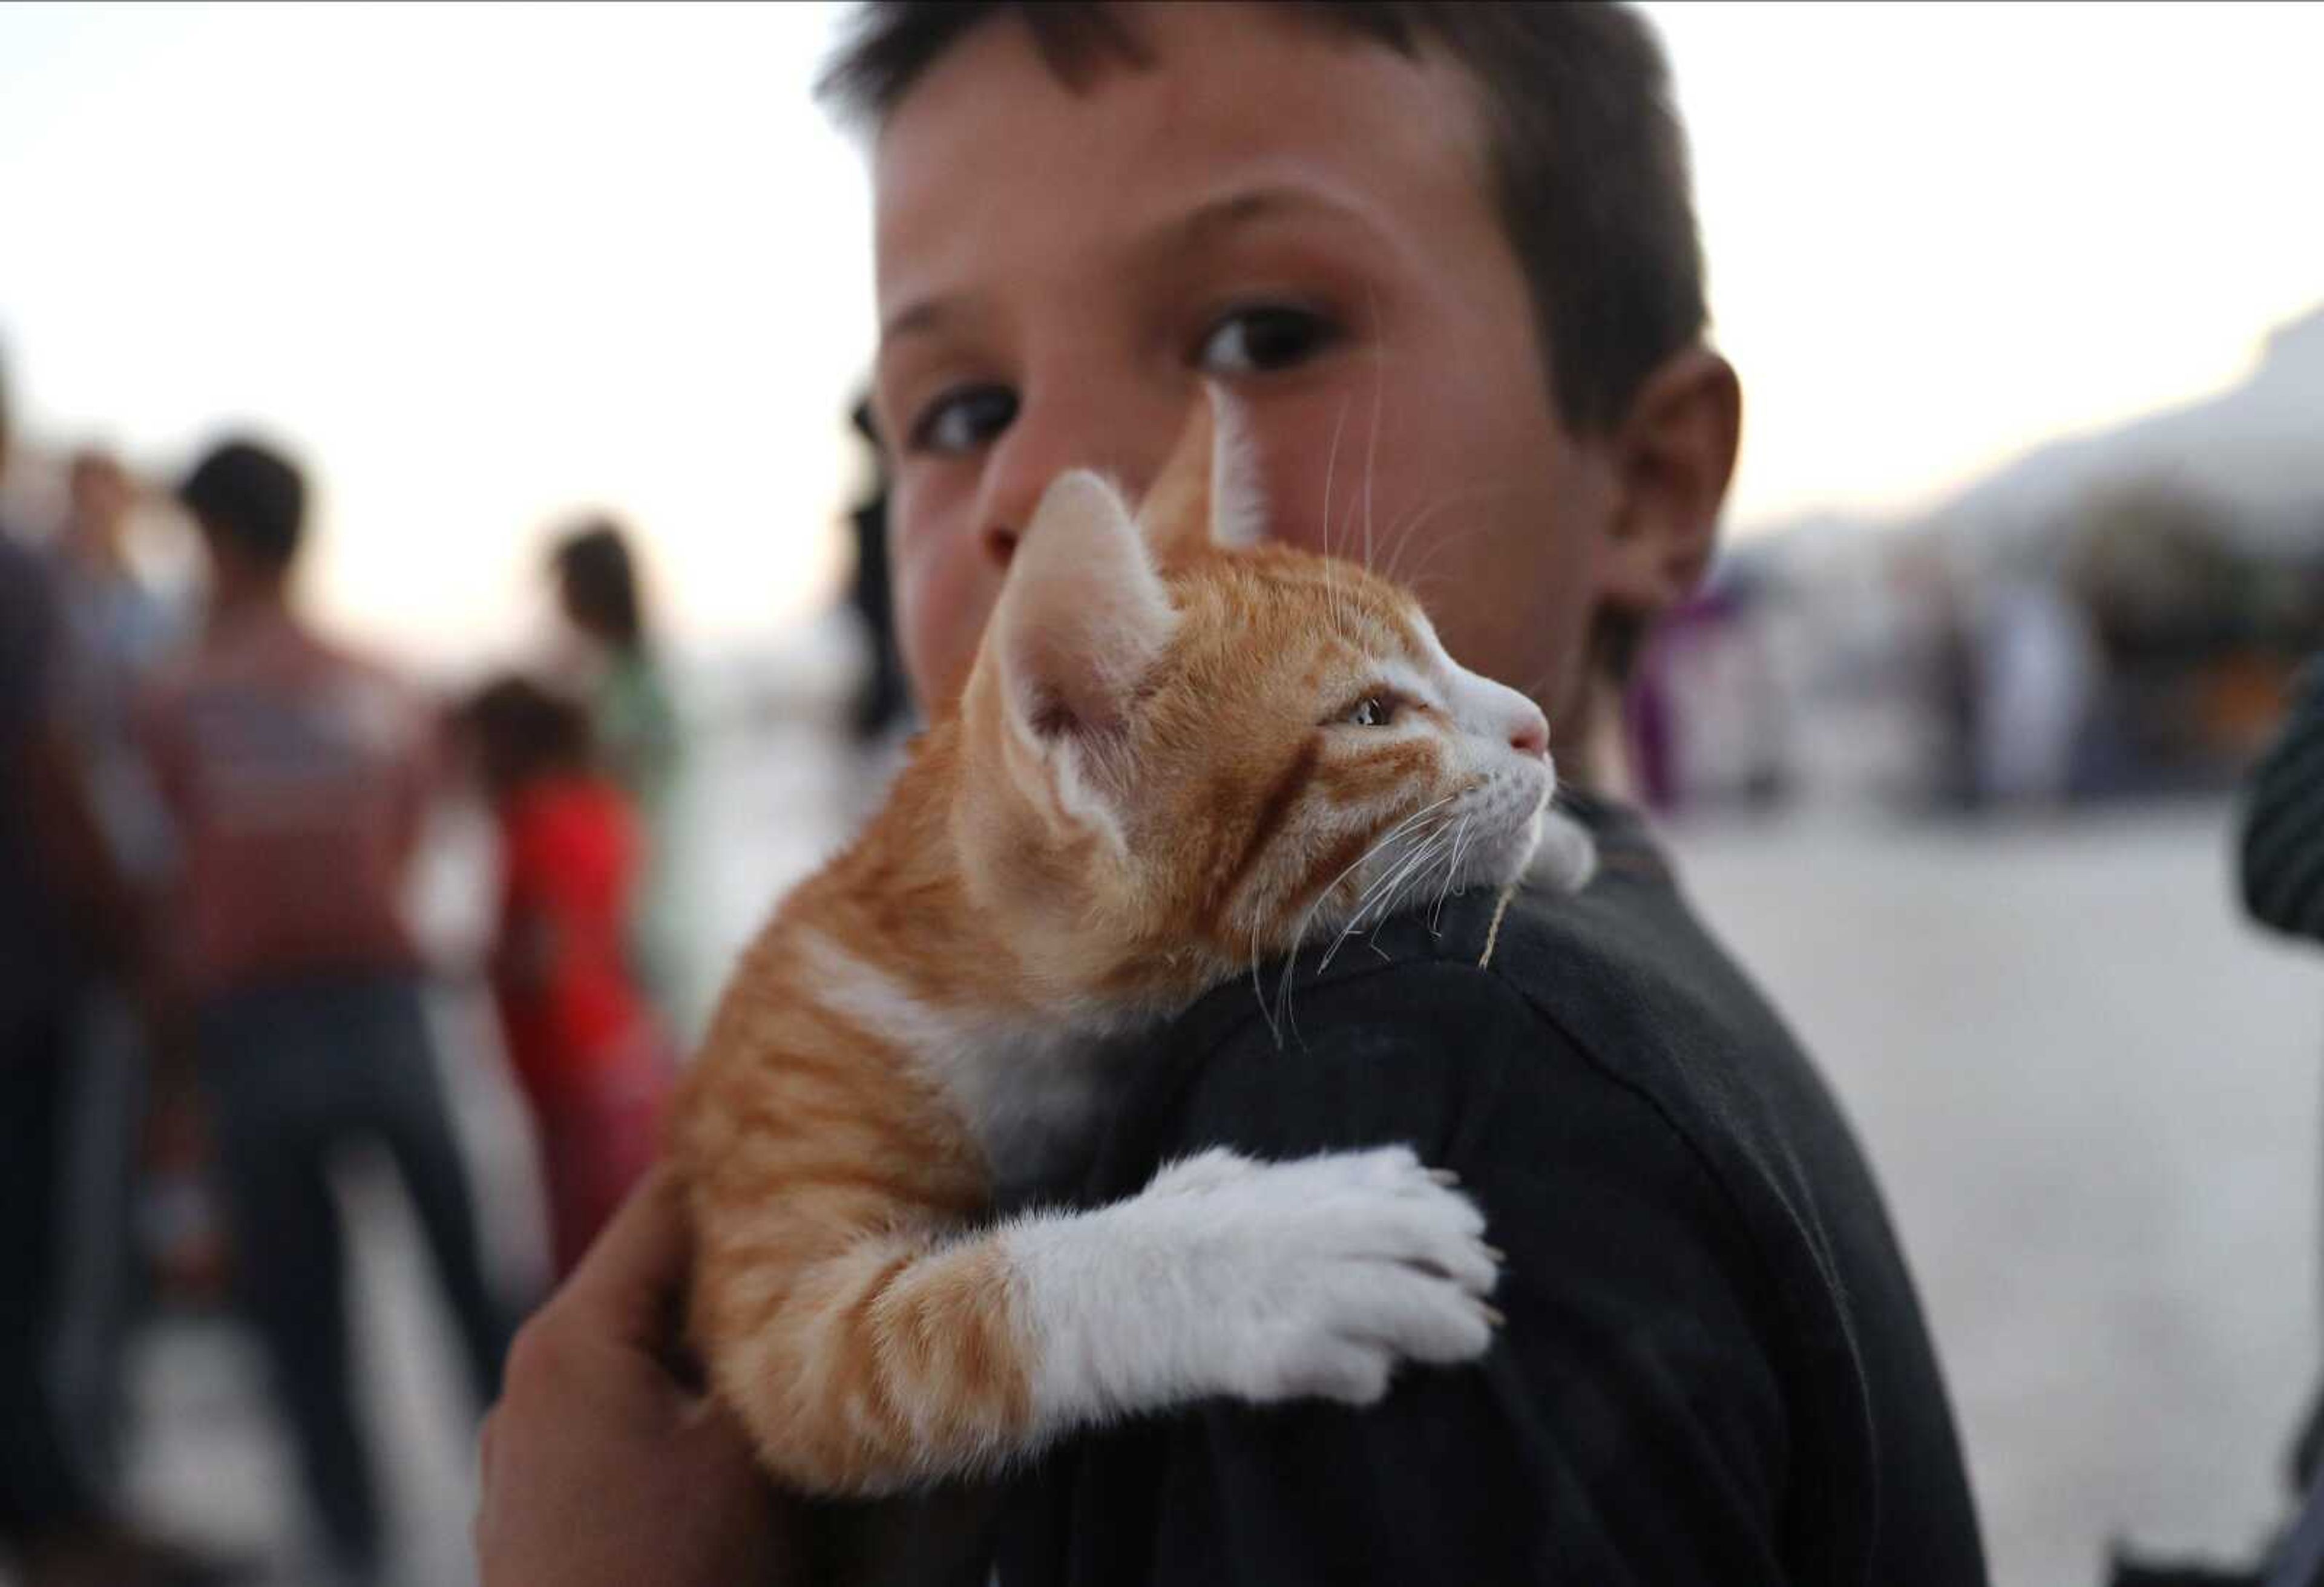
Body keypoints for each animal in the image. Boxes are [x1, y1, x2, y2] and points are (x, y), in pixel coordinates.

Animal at [665, 399, 1589, 1505]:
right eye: (1372, 714)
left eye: (1446, 651)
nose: (1538, 726)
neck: (1030, 1043)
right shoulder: (786, 1317)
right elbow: (934, 1333)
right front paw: (1267, 1250)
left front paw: (1560, 837)